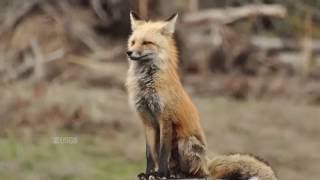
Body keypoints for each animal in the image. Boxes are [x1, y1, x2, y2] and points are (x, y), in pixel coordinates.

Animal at [126, 11, 276, 180]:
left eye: (146, 42)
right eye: (133, 42)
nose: (129, 52)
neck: (147, 84)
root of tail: (207, 165)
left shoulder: (165, 118)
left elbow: (163, 152)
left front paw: (161, 174)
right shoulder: (147, 119)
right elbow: (150, 154)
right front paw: (148, 174)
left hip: (186, 142)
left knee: (196, 174)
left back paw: (177, 174)